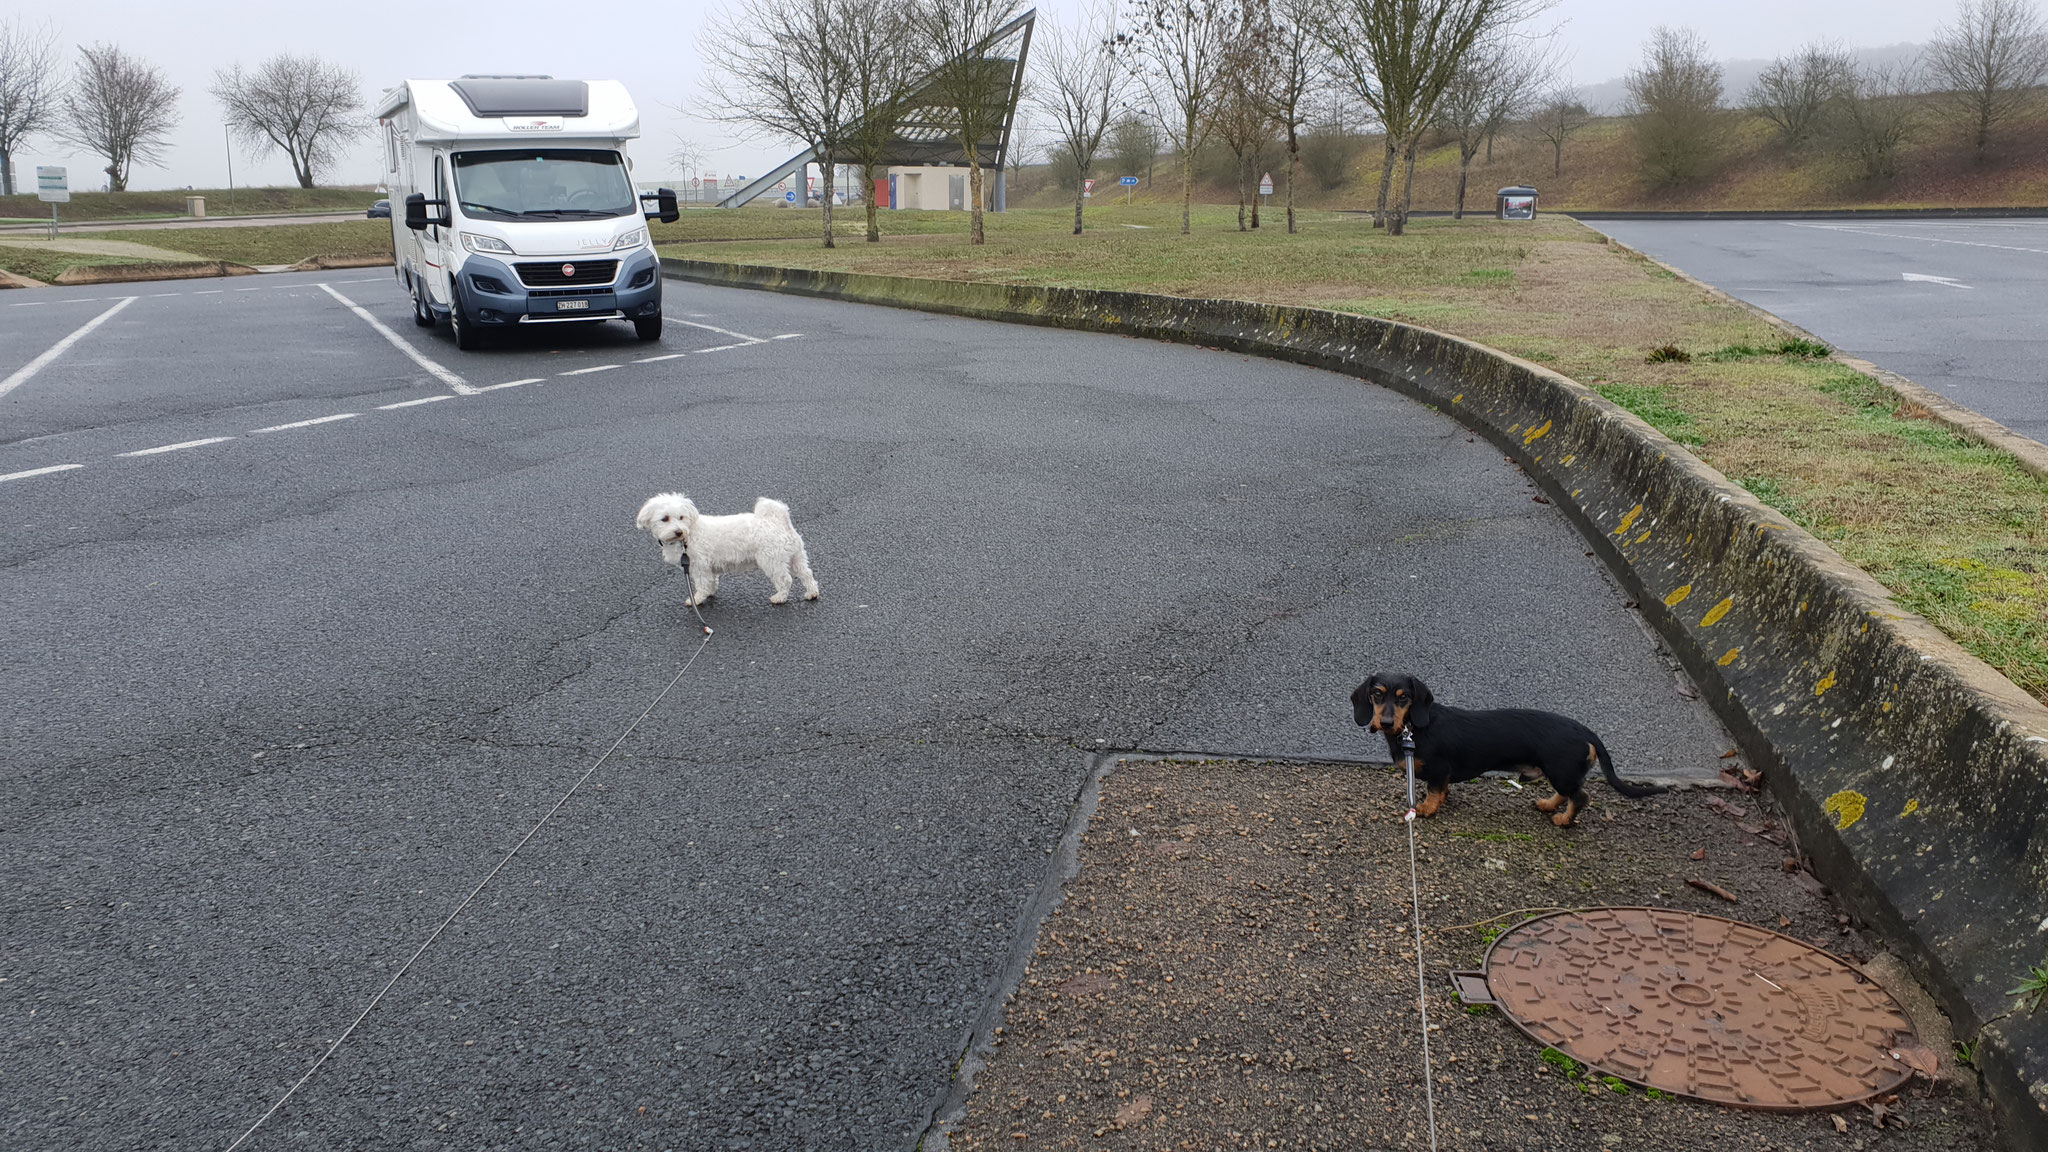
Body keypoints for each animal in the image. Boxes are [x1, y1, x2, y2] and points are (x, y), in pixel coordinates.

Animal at [630, 487, 815, 606]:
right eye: (665, 519)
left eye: (681, 517)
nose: (678, 531)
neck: (689, 533)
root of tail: (778, 520)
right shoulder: (708, 567)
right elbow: (712, 581)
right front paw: (711, 592)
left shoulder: (699, 566)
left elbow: (702, 584)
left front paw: (697, 600)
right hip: (796, 556)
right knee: (806, 574)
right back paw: (812, 593)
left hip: (771, 560)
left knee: (785, 580)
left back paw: (779, 598)